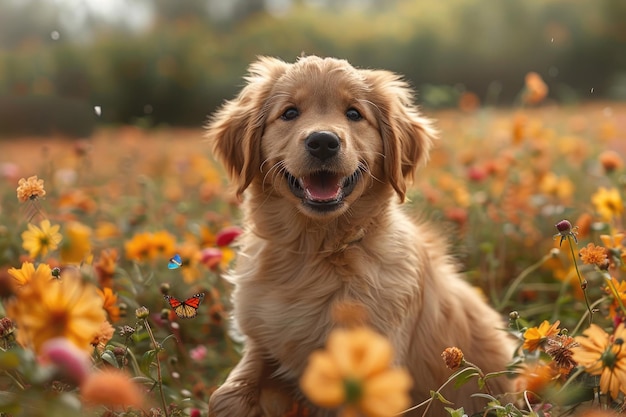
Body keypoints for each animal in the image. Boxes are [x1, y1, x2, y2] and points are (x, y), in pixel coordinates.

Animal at [207, 56, 516, 416]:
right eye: (289, 112)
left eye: (354, 114)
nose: (323, 141)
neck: (315, 253)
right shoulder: (263, 341)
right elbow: (226, 395)